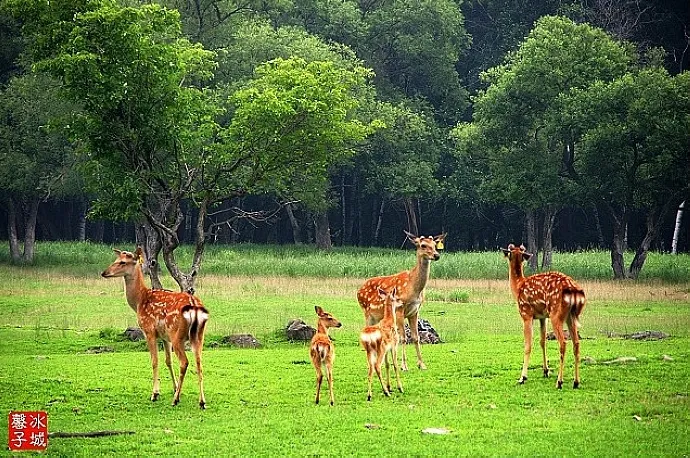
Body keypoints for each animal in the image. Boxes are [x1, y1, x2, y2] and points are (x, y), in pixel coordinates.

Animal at [99, 247, 207, 408]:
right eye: (116, 259)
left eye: (123, 262)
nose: (104, 272)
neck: (139, 300)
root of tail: (194, 306)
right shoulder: (164, 337)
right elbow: (168, 361)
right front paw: (175, 388)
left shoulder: (149, 331)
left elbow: (154, 361)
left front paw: (155, 393)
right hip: (198, 335)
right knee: (199, 363)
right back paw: (201, 401)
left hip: (177, 334)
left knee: (184, 362)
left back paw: (176, 400)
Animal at [500, 243, 584, 390]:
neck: (518, 286)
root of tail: (574, 290)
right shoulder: (542, 317)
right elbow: (542, 341)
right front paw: (545, 371)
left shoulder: (526, 314)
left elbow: (528, 345)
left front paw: (522, 377)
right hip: (570, 316)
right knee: (576, 343)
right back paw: (576, 382)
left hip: (556, 314)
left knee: (563, 343)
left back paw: (559, 382)